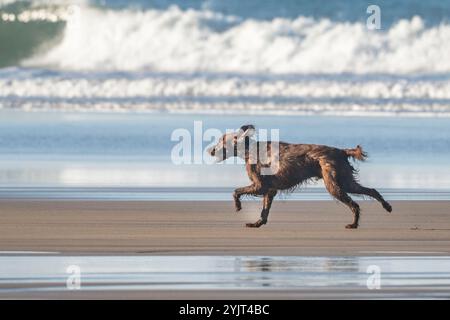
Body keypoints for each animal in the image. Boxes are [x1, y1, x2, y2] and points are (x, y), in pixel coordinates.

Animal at [209, 124, 392, 229]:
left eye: (221, 141)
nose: (210, 151)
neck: (250, 150)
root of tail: (341, 151)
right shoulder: (270, 190)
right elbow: (264, 210)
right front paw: (258, 223)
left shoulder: (260, 186)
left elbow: (236, 191)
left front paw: (238, 206)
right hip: (345, 180)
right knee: (372, 191)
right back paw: (387, 206)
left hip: (334, 185)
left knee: (355, 204)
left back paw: (354, 224)